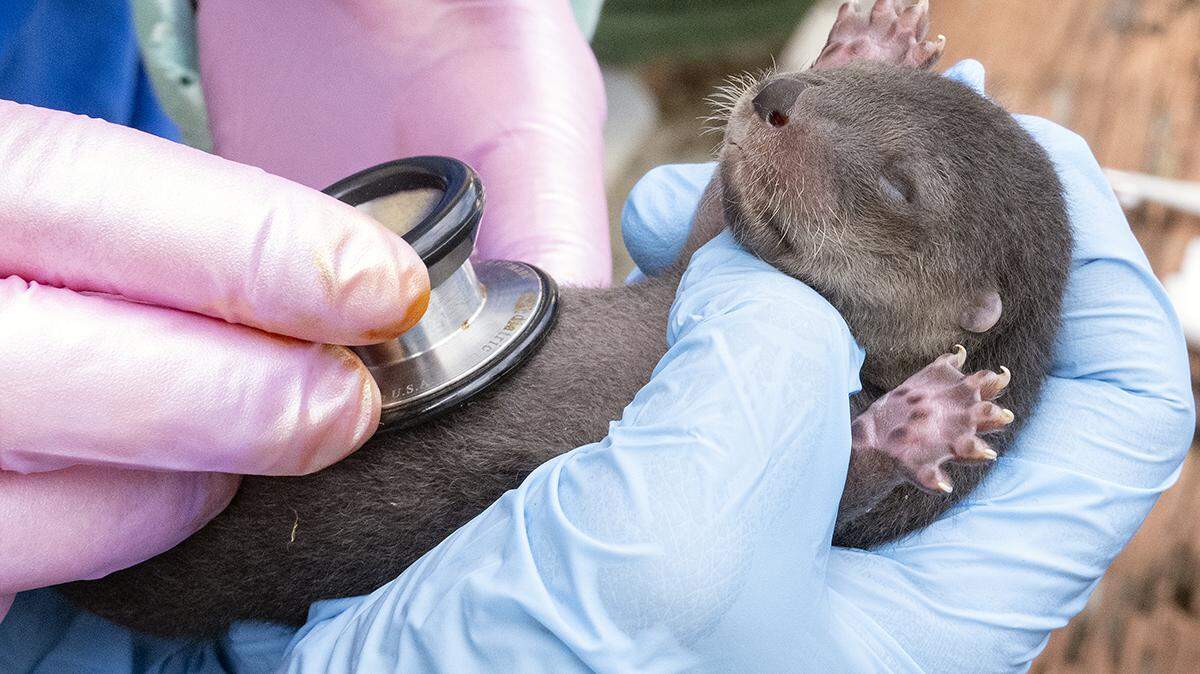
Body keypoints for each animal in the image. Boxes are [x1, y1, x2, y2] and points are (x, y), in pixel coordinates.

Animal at [62, 0, 1071, 635]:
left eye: (900, 185)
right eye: (840, 97)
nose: (778, 98)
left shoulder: (869, 520)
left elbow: (833, 498)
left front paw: (920, 421)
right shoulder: (699, 260)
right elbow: (710, 213)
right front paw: (868, 40)